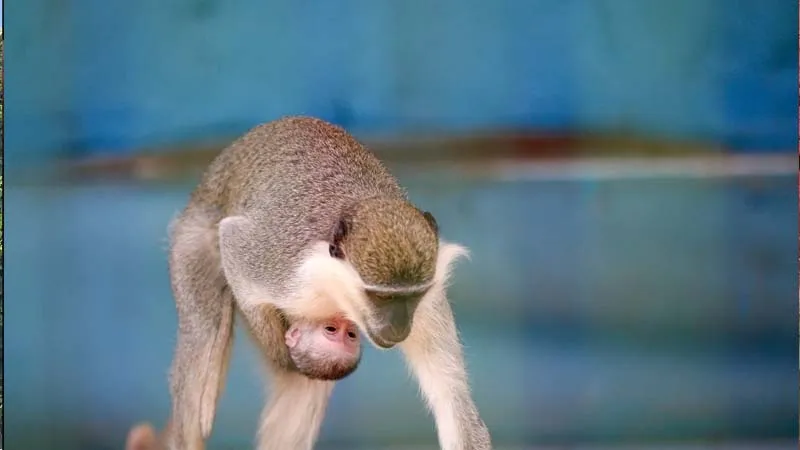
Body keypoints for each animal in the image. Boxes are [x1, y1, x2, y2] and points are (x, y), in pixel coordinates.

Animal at [164, 116, 492, 450]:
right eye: (381, 297)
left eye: (411, 297)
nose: (399, 327)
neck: (338, 292)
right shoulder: (283, 270)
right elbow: (232, 241)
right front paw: (280, 351)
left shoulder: (427, 304)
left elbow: (453, 403)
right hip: (192, 239)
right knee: (202, 345)